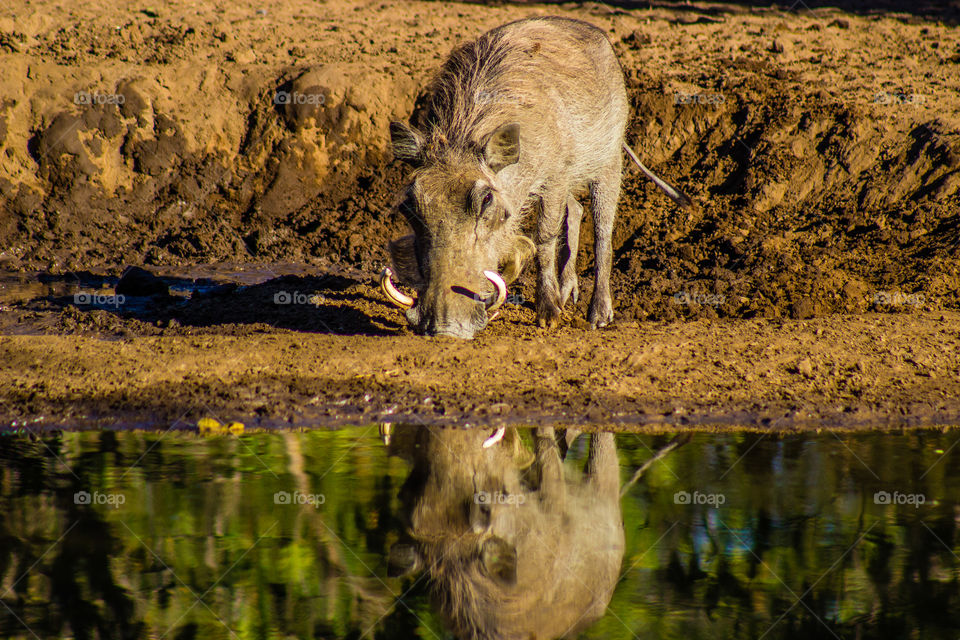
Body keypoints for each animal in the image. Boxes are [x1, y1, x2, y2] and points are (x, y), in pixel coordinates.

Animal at [380, 16, 690, 338]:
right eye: (409, 205)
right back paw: (567, 294)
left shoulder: (554, 176)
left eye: (486, 199)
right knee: (575, 210)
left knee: (603, 230)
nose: (445, 329)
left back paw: (599, 315)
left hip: (608, 161)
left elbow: (545, 237)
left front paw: (549, 315)